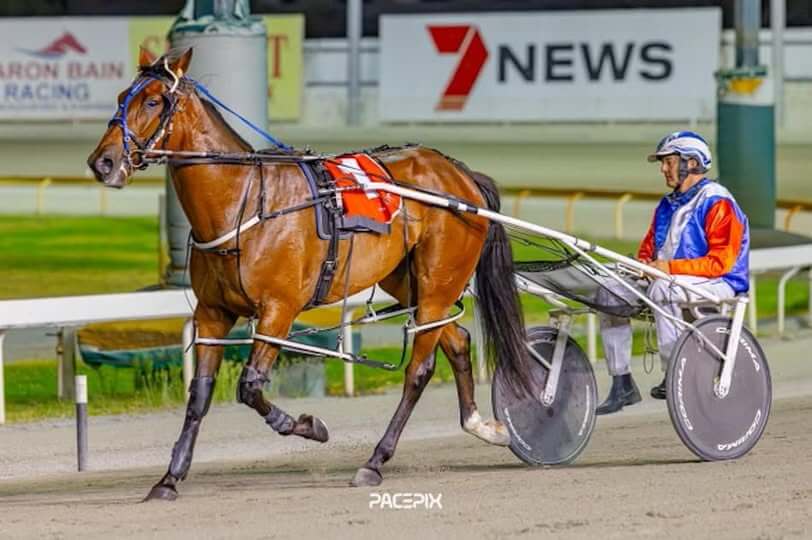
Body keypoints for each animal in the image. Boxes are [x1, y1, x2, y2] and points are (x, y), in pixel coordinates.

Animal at [87, 48, 531, 501]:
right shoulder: (211, 314)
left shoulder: (278, 311)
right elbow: (200, 395)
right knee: (456, 339)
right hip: (411, 284)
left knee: (418, 370)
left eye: (153, 101)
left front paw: (307, 426)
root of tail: (460, 173)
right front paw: (169, 478)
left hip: (439, 280)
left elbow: (249, 387)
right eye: (121, 97)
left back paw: (375, 461)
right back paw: (482, 425)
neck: (244, 201)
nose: (102, 162)